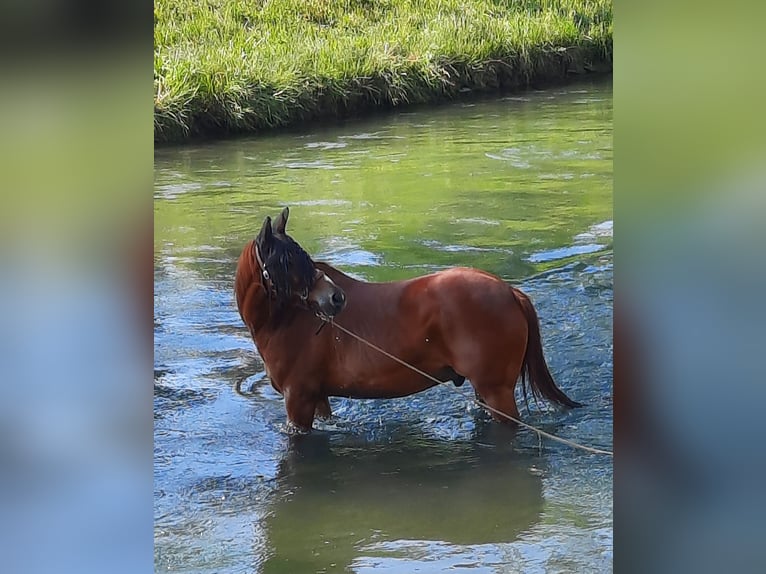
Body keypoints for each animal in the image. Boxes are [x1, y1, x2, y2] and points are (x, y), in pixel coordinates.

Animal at [236, 207, 584, 432]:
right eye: (285, 261)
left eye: (300, 257)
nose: (335, 298)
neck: (287, 321)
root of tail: (509, 291)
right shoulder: (318, 398)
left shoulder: (298, 401)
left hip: (497, 392)